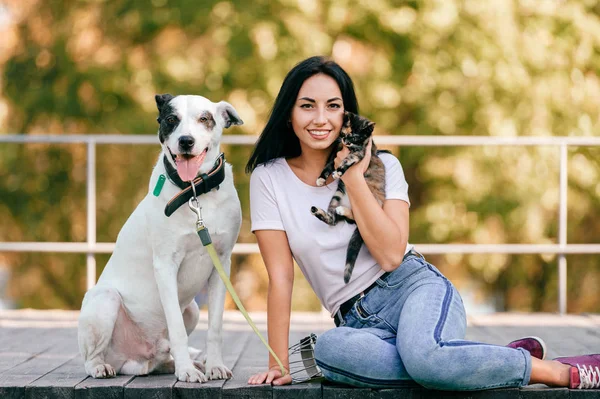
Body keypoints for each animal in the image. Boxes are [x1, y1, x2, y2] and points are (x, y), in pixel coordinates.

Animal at [78, 94, 243, 384]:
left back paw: (174, 363)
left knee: (161, 356)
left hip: (192, 310)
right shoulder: (166, 265)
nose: (186, 141)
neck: (194, 192)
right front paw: (187, 372)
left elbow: (215, 327)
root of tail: (135, 360)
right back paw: (101, 367)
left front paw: (213, 366)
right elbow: (176, 327)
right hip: (105, 299)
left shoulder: (221, 264)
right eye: (171, 119)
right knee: (91, 358)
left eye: (204, 118)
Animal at [310, 111, 384, 282]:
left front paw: (339, 171)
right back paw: (320, 211)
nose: (345, 140)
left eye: (355, 137)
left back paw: (342, 210)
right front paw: (321, 178)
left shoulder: (358, 154)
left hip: (370, 201)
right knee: (333, 220)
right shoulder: (335, 155)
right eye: (344, 133)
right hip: (337, 195)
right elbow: (328, 165)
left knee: (355, 218)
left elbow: (346, 160)